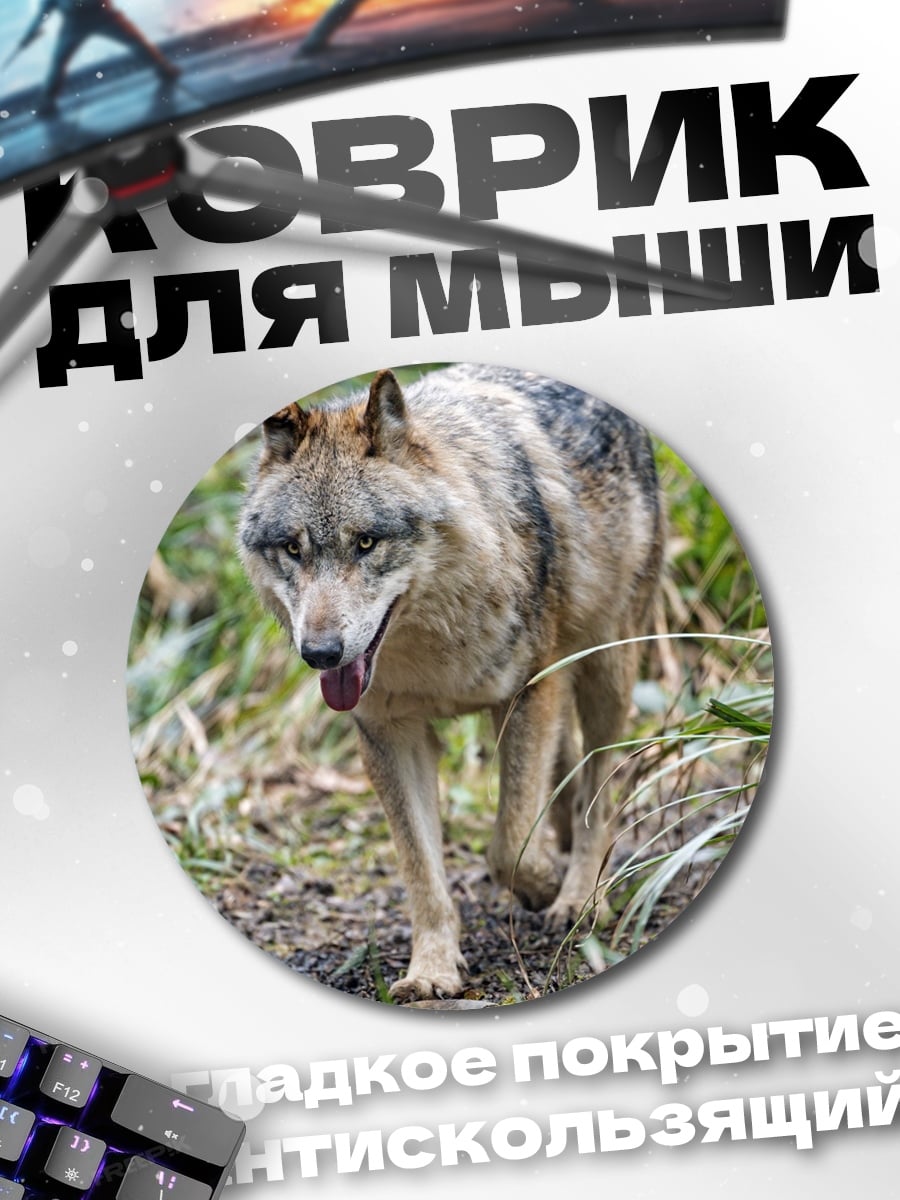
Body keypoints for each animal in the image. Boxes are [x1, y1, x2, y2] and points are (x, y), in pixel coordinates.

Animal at [239, 364, 663, 1001]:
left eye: (366, 542)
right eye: (293, 548)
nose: (319, 654)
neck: (430, 646)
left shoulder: (528, 693)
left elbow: (507, 846)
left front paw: (541, 886)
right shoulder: (391, 734)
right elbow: (422, 871)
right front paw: (433, 970)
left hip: (605, 672)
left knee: (600, 788)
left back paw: (580, 897)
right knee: (568, 771)